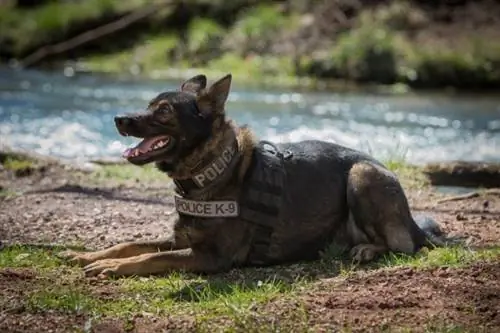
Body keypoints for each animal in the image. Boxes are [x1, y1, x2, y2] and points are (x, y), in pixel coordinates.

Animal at [58, 74, 454, 276]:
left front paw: (112, 267)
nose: (119, 119)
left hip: (362, 174)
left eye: (164, 111)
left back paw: (369, 249)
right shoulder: (180, 239)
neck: (211, 173)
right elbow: (129, 244)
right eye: (148, 105)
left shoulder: (211, 257)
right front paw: (89, 257)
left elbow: (150, 258)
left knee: (404, 245)